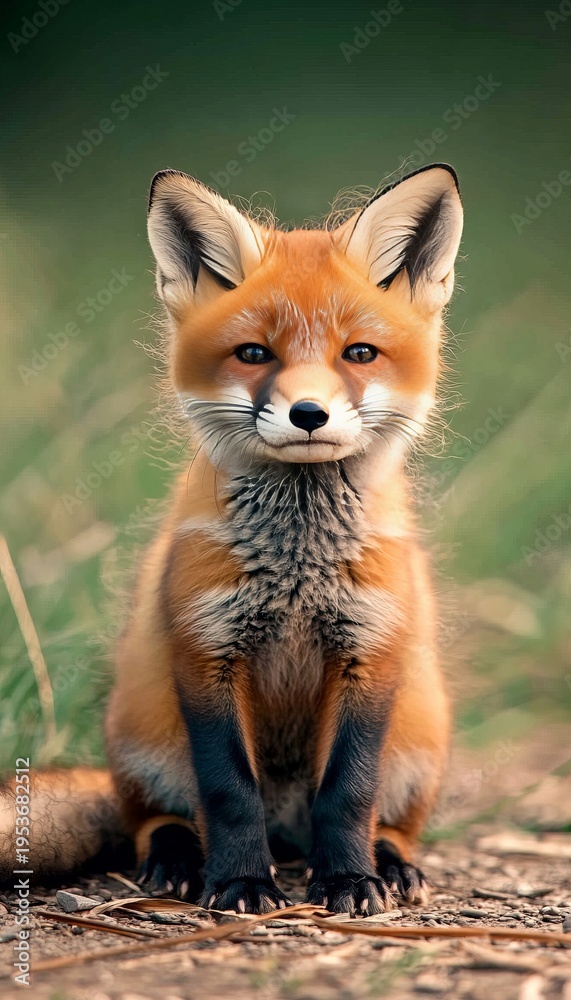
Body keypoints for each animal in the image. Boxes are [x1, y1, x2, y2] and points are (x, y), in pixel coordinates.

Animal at [0, 162, 463, 915]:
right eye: (253, 354)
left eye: (359, 354)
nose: (309, 413)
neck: (298, 567)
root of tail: (288, 831)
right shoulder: (206, 650)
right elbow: (227, 791)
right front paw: (241, 881)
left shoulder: (370, 653)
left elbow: (348, 792)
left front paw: (349, 880)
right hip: (147, 735)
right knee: (157, 819)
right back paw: (179, 859)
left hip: (418, 737)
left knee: (387, 821)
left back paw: (390, 863)